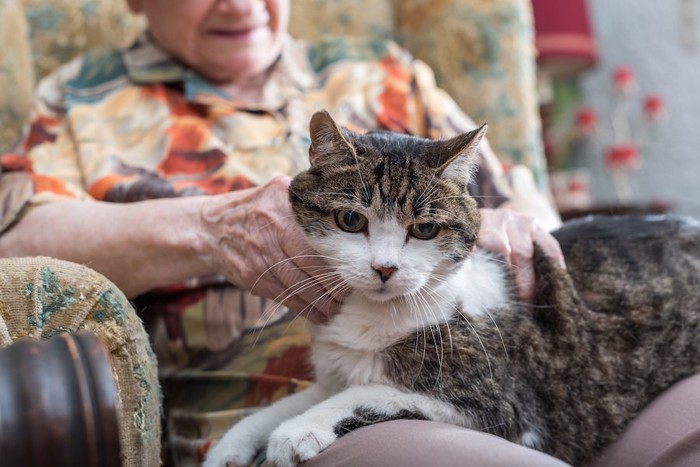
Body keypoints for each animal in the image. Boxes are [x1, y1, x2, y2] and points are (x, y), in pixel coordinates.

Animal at [204, 110, 700, 467]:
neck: (375, 318)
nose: (384, 268)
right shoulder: (336, 371)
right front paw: (231, 444)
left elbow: (370, 394)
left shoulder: (505, 405)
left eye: (424, 229)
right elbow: (287, 402)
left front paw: (295, 432)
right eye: (351, 220)